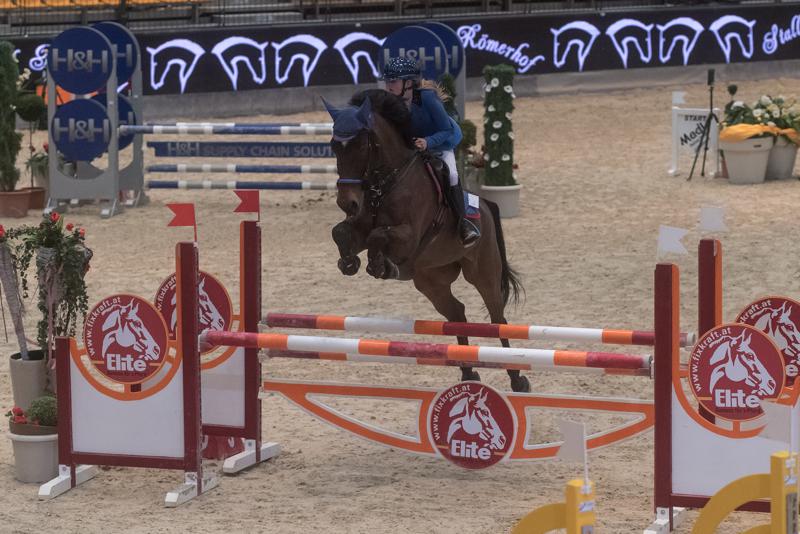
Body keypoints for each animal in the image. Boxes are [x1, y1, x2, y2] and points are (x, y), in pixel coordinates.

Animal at [322, 90, 528, 394]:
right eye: (334, 146)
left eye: (360, 145)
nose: (347, 203)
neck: (387, 181)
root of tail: (486, 207)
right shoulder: (360, 224)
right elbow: (342, 232)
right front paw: (348, 262)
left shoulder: (408, 237)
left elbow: (378, 235)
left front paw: (380, 265)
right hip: (431, 280)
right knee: (457, 314)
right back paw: (468, 372)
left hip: (483, 272)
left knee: (497, 319)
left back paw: (517, 378)